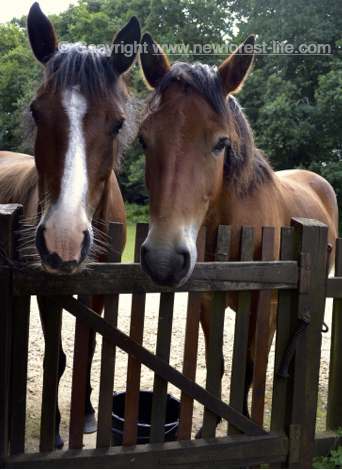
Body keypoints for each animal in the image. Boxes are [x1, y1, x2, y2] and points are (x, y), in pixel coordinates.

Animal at [0, 4, 140, 452]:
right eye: (35, 111)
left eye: (118, 123)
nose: (63, 241)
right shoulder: (49, 292)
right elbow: (57, 356)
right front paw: (57, 427)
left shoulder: (98, 290)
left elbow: (89, 347)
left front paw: (89, 413)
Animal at [138, 33, 338, 436]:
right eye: (143, 140)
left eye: (221, 143)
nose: (165, 259)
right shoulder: (207, 305)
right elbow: (219, 366)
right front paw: (210, 427)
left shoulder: (264, 310)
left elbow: (250, 369)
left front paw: (246, 423)